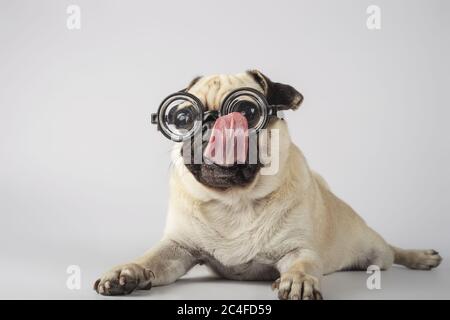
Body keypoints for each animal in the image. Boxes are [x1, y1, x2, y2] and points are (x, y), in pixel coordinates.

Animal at [93, 70, 442, 300]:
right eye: (183, 117)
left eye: (247, 110)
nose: (212, 121)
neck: (234, 201)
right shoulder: (177, 249)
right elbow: (149, 259)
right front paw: (126, 273)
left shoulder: (298, 249)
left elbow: (302, 264)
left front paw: (299, 281)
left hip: (375, 251)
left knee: (392, 251)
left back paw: (420, 257)